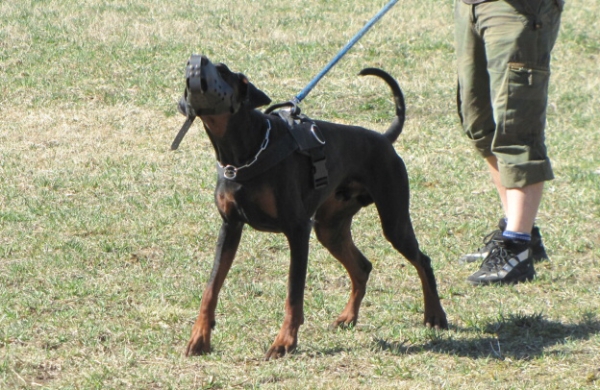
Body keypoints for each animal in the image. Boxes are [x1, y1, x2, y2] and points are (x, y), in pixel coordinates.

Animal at [171, 54, 448, 360]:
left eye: (221, 70)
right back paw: (348, 317)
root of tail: (384, 139)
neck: (244, 152)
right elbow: (211, 287)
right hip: (329, 228)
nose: (196, 59)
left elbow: (294, 293)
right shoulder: (230, 226)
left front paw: (284, 342)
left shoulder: (297, 229)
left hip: (393, 219)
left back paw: (435, 315)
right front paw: (200, 338)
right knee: (362, 267)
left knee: (422, 260)